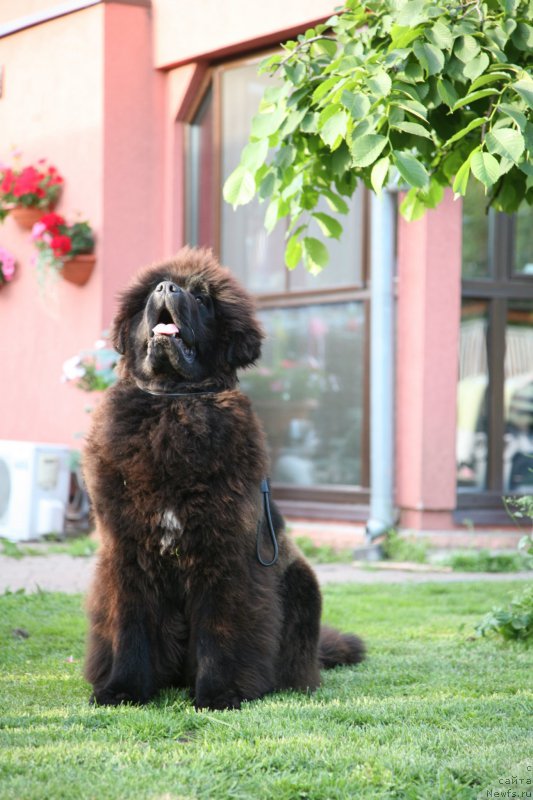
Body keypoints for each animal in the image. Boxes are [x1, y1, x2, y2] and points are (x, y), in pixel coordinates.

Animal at [84, 247, 366, 708]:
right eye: (153, 288)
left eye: (202, 299)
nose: (168, 288)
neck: (174, 401)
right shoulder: (128, 553)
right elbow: (130, 627)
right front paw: (122, 689)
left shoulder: (225, 554)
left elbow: (222, 630)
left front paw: (219, 693)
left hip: (301, 580)